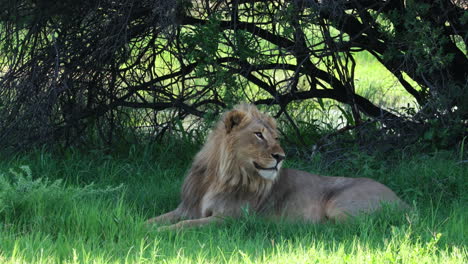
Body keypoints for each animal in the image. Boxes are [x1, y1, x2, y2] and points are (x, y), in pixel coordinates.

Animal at [147, 102, 406, 230]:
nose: (281, 157)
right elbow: (155, 219)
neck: (218, 177)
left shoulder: (229, 220)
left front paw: (159, 234)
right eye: (259, 135)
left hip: (339, 207)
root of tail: (403, 202)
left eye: (276, 137)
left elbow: (184, 226)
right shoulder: (186, 208)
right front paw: (141, 229)